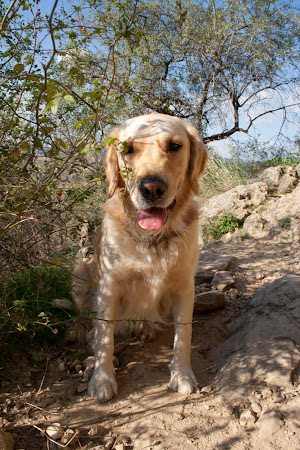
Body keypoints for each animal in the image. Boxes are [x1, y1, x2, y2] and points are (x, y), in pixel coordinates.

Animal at [74, 111, 207, 400]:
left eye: (174, 146)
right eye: (128, 150)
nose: (152, 188)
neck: (152, 240)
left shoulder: (185, 285)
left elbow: (184, 333)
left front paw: (182, 374)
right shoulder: (109, 286)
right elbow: (105, 337)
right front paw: (102, 380)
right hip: (79, 271)